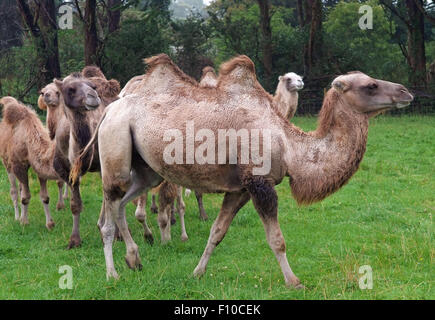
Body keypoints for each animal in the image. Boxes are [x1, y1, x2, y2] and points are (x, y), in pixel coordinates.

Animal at [0, 96, 67, 229]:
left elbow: (45, 197)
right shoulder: (18, 165)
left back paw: (21, 216)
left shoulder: (38, 168)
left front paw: (50, 224)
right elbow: (26, 196)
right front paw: (24, 222)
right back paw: (17, 217)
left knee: (20, 188)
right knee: (14, 190)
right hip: (7, 163)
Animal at [73, 53, 414, 286]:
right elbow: (277, 239)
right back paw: (113, 273)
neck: (290, 146)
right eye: (370, 85)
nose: (405, 92)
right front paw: (294, 282)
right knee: (110, 211)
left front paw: (197, 272)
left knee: (121, 204)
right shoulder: (260, 183)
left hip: (146, 169)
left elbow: (217, 232)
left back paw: (135, 259)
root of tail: (110, 109)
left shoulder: (240, 188)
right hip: (117, 148)